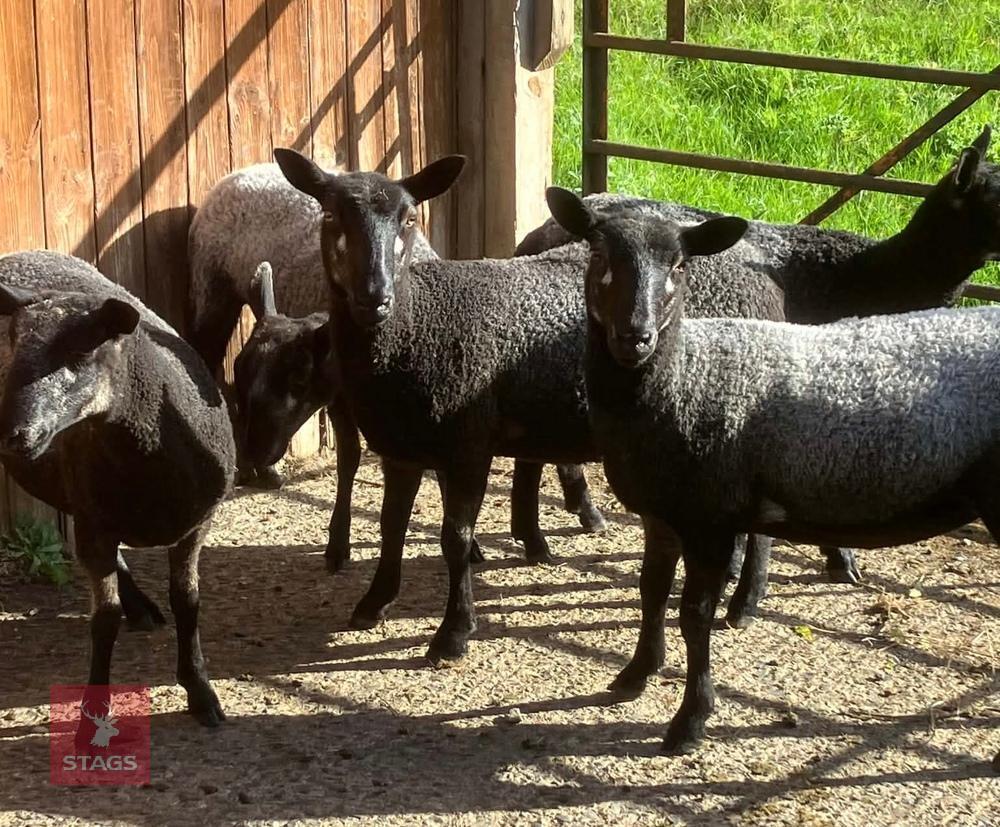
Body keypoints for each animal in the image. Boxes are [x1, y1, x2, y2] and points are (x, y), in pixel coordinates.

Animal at [0, 250, 235, 736]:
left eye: (82, 352)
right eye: (13, 343)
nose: (14, 436)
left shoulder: (196, 525)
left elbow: (188, 602)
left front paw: (200, 691)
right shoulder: (96, 522)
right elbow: (103, 620)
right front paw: (93, 713)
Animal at [199, 166, 605, 570]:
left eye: (299, 379)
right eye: (242, 374)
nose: (257, 450)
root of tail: (246, 172)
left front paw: (473, 547)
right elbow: (350, 460)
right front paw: (338, 545)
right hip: (213, 288)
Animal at [546, 185, 1000, 755]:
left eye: (679, 264)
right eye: (599, 255)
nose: (636, 337)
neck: (681, 379)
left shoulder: (710, 520)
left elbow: (694, 615)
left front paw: (690, 721)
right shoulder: (662, 513)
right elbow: (650, 590)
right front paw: (636, 674)